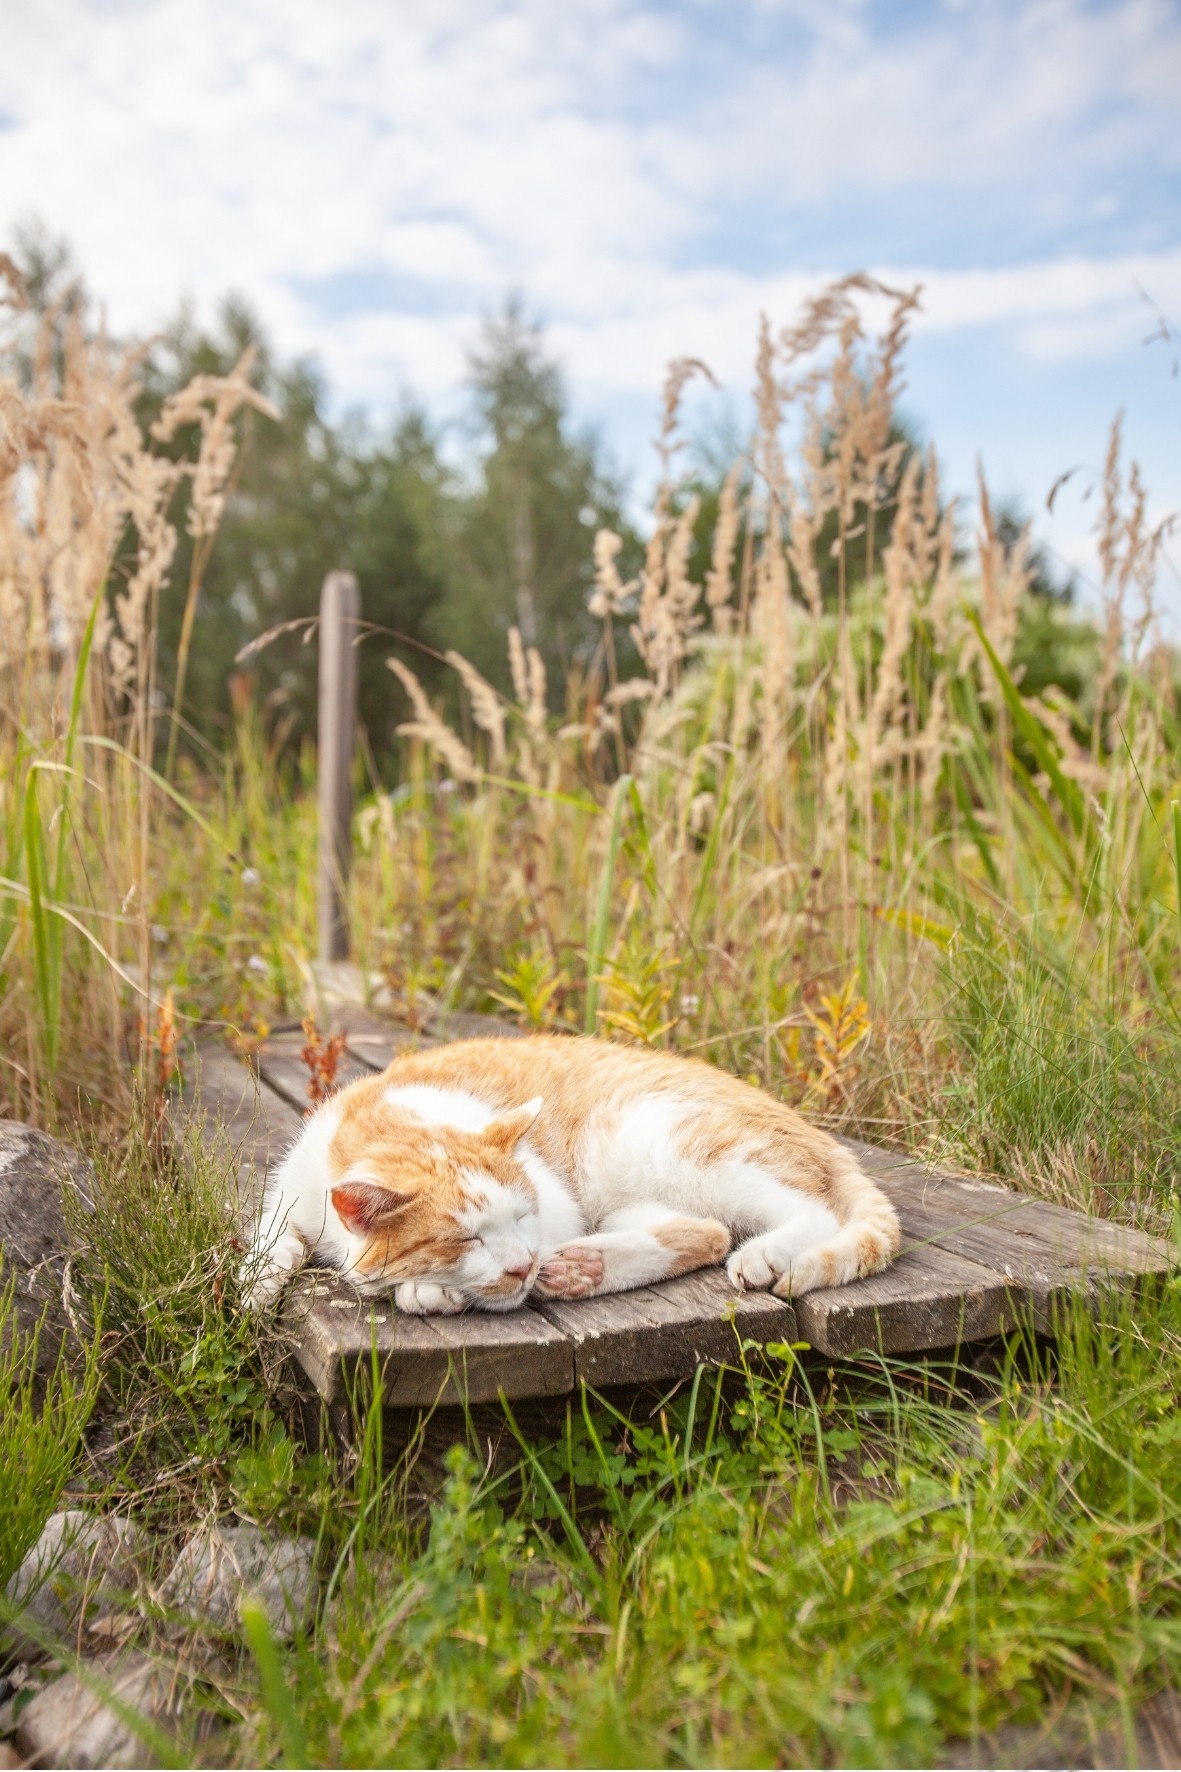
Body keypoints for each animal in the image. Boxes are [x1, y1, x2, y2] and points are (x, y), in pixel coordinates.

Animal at [242, 1034, 897, 1311]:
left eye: (521, 1218)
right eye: (465, 1238)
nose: (520, 1265)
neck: (388, 1119)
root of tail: (816, 1130)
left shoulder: (555, 1203)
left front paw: (425, 1289)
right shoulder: (293, 1189)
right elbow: (272, 1238)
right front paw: (255, 1284)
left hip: (663, 1138)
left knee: (809, 1214)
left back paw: (764, 1255)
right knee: (706, 1230)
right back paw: (588, 1267)